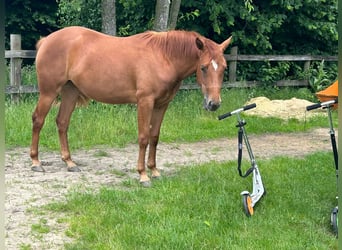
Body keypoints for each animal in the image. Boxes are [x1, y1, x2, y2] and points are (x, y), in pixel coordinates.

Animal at [30, 26, 232, 187]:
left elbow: (154, 137)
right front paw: (143, 175)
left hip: (70, 92)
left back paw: (69, 162)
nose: (214, 103)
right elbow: (143, 137)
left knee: (62, 123)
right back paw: (36, 162)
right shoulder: (145, 102)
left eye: (224, 68)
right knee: (38, 120)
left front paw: (154, 171)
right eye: (204, 67)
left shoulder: (162, 105)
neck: (163, 57)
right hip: (48, 93)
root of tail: (47, 40)